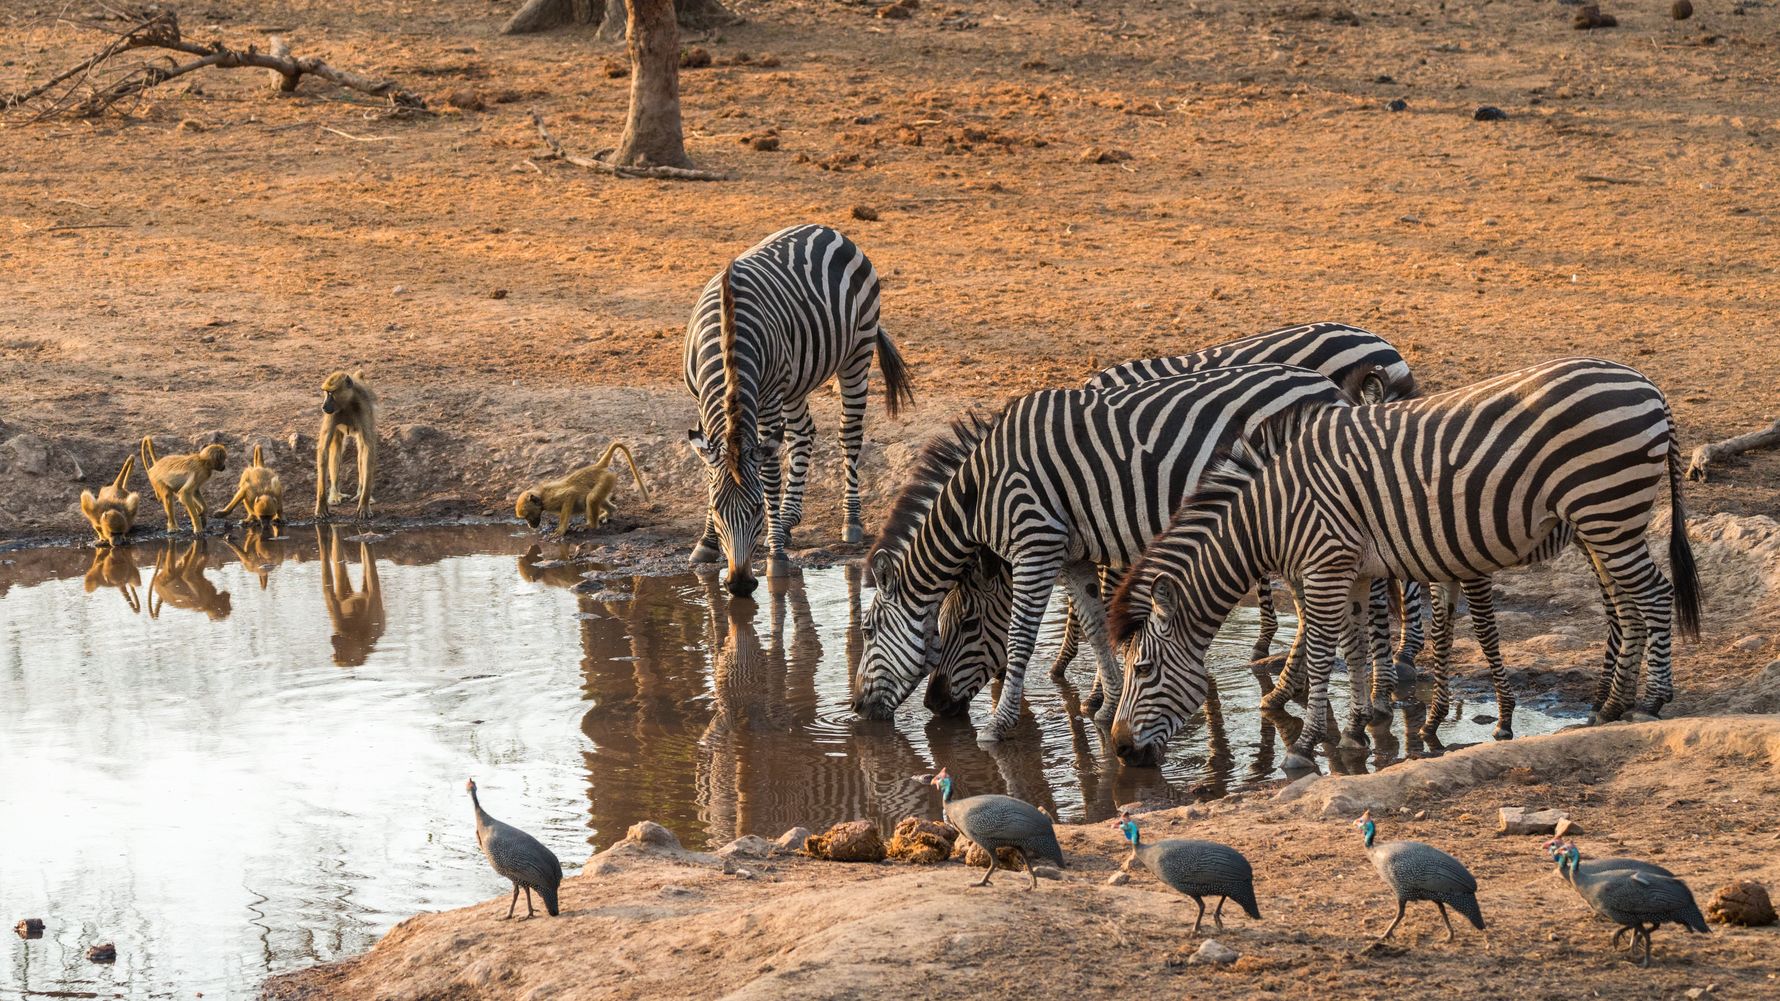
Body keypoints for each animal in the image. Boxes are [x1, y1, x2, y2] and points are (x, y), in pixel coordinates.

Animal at [685, 225, 915, 596]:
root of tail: (829, 230)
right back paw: (789, 516)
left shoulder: (768, 399)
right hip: (796, 380)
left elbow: (769, 476)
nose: (739, 585)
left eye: (756, 510)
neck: (727, 334)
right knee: (803, 433)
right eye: (718, 509)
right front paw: (706, 543)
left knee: (849, 434)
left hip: (857, 353)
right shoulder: (700, 401)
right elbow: (710, 471)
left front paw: (776, 554)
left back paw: (850, 520)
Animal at [852, 363, 1351, 741]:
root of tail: (1331, 389)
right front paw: (1107, 707)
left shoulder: (1036, 543)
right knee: (1308, 609)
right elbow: (1094, 625)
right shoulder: (1072, 556)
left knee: (1313, 608)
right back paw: (1286, 692)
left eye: (871, 630)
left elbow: (1020, 639)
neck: (980, 493)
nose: (855, 707)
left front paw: (997, 726)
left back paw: (1290, 692)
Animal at [923, 322, 1422, 720]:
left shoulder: (1115, 519)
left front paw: (1087, 680)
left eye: (966, 623)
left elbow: (1105, 601)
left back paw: (1397, 662)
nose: (935, 703)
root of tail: (1381, 342)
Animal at [1107, 358, 1701, 770]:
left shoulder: (1325, 565)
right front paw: (1353, 730)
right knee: (1626, 605)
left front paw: (1305, 744)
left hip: (1607, 509)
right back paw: (1610, 705)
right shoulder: (1351, 570)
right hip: (1602, 521)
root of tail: (1649, 386)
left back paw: (1651, 700)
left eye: (1143, 670)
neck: (1273, 511)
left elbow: (1322, 654)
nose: (1118, 749)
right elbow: (1353, 648)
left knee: (1652, 596)